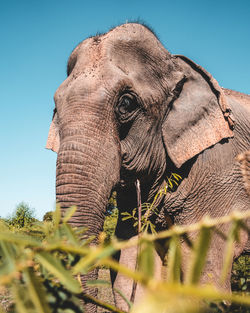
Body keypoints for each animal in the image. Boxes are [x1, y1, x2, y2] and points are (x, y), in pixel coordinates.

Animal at [46, 23, 249, 310]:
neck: (176, 65)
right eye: (55, 109)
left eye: (126, 103)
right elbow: (133, 264)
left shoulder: (219, 172)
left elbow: (206, 276)